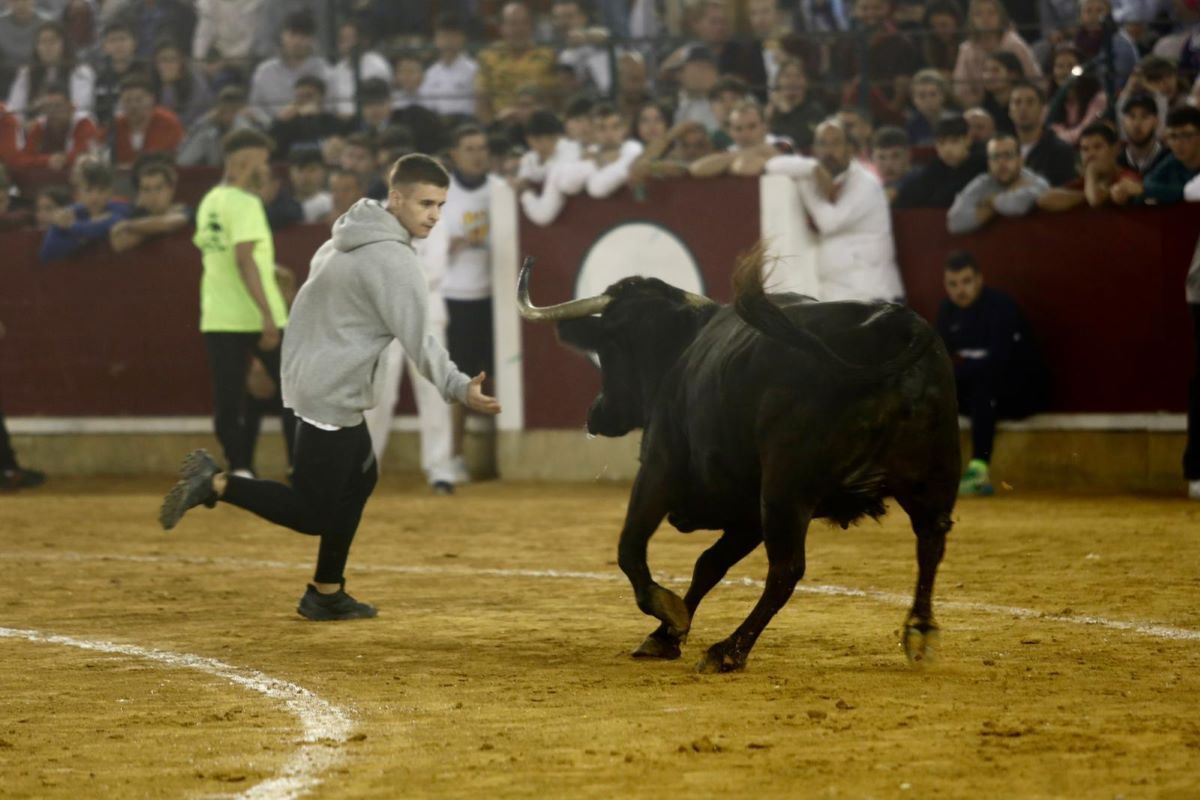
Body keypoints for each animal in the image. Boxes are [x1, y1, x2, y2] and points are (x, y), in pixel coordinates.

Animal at [520, 247, 960, 671]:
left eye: (607, 350)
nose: (596, 414)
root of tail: (898, 326)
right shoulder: (749, 511)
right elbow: (709, 564)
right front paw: (666, 635)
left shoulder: (659, 469)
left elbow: (630, 547)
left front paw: (667, 613)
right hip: (932, 482)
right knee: (930, 544)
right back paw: (920, 630)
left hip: (787, 490)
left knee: (786, 570)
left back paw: (728, 650)